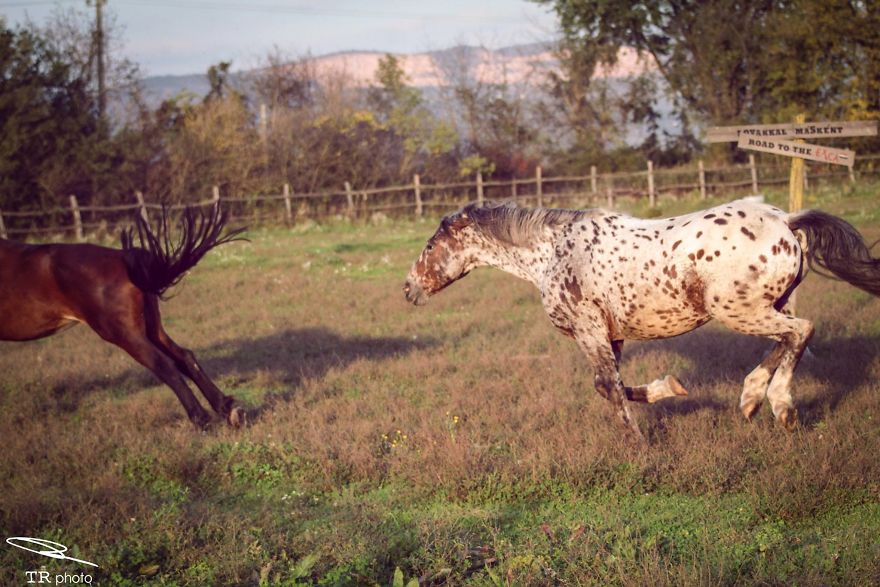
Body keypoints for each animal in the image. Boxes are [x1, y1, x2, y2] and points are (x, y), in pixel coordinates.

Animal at [0, 206, 246, 429]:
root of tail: (122, 258)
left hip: (123, 333)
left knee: (164, 365)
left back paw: (201, 419)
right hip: (151, 328)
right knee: (184, 357)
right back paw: (227, 408)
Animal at [404, 199, 880, 442]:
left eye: (430, 246)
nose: (409, 289)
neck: (551, 252)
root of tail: (786, 221)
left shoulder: (589, 332)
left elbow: (608, 387)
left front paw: (638, 443)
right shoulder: (610, 336)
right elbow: (612, 385)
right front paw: (672, 387)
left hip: (739, 310)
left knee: (801, 332)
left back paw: (781, 407)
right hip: (764, 306)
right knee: (786, 340)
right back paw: (749, 400)